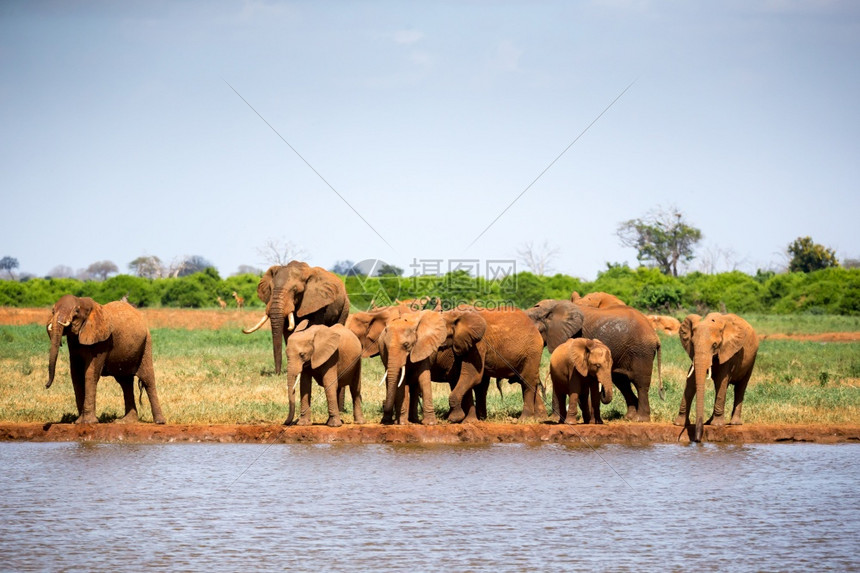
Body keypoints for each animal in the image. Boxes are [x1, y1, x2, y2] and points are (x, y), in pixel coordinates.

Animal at [45, 294, 165, 424]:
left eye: (76, 311)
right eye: (52, 311)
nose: (46, 385)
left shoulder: (102, 341)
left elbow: (90, 373)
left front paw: (88, 422)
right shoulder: (73, 342)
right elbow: (76, 374)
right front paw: (78, 422)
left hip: (146, 343)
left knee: (148, 380)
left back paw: (159, 422)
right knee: (125, 382)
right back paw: (125, 421)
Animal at [524, 300, 664, 420]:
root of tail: (655, 335)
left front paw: (556, 419)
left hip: (641, 352)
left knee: (640, 383)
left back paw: (640, 419)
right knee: (622, 382)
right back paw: (629, 417)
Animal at [676, 312, 756, 442]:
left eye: (714, 345)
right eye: (692, 344)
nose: (697, 440)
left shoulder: (729, 350)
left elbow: (722, 380)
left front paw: (718, 425)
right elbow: (691, 381)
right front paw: (679, 424)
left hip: (752, 360)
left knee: (740, 387)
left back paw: (734, 423)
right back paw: (709, 422)